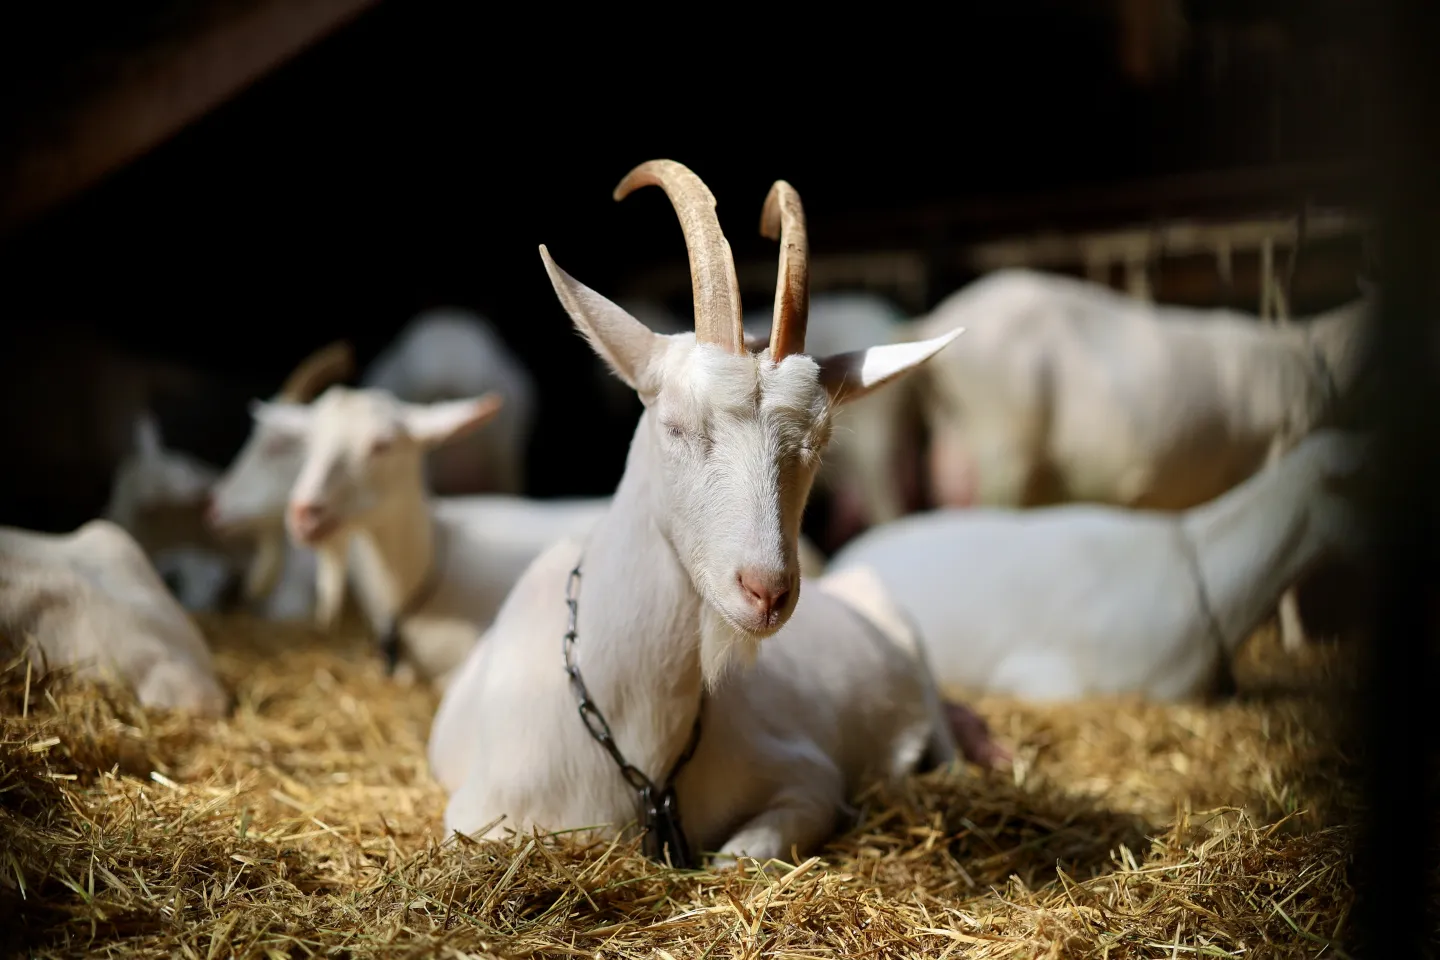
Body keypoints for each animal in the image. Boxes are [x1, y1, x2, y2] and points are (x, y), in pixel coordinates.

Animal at [429, 160, 1000, 868]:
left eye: (818, 442)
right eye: (675, 426)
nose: (767, 590)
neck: (642, 747)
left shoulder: (808, 775)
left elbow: (741, 853)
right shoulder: (478, 818)